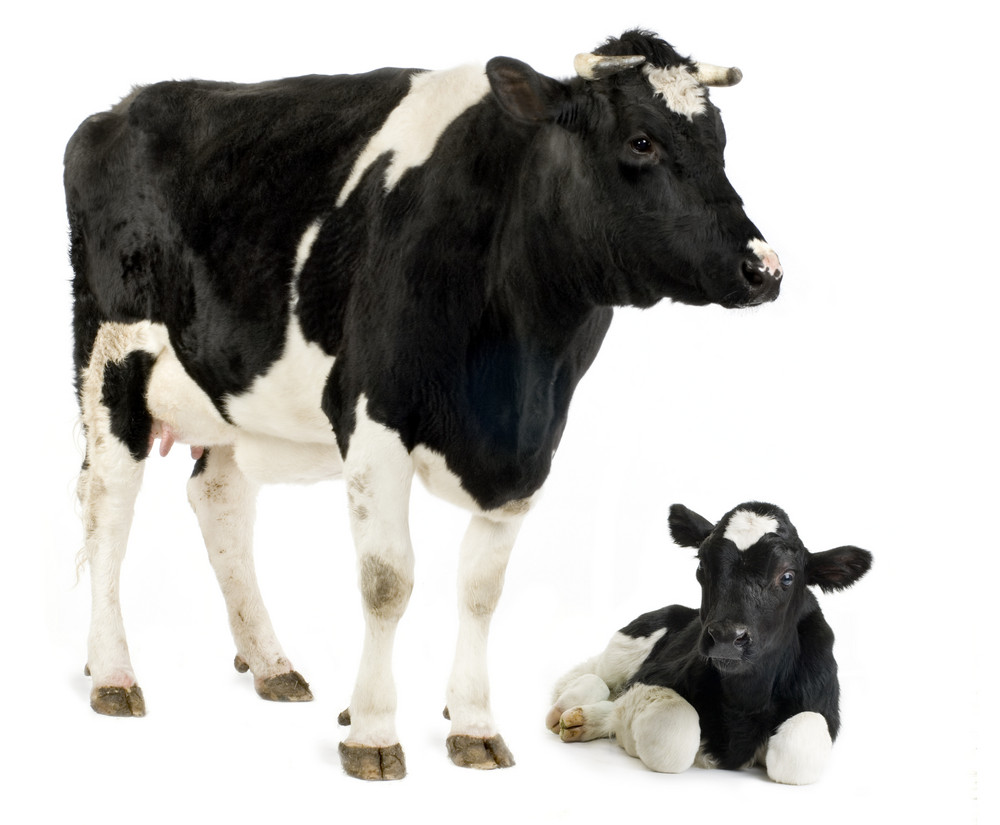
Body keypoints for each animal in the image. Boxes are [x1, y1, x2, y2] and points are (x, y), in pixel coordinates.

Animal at [64, 29, 783, 781]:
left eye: (719, 141)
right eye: (641, 141)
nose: (763, 268)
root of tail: (126, 105)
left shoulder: (530, 447)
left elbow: (481, 589)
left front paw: (472, 723)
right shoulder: (376, 419)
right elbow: (387, 581)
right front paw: (373, 730)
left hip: (232, 392)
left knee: (219, 501)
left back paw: (270, 664)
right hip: (110, 360)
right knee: (107, 508)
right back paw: (112, 672)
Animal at [546, 502, 872, 785]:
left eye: (788, 576)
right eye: (702, 565)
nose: (727, 637)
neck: (745, 699)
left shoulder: (823, 706)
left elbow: (797, 754)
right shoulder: (652, 677)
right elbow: (674, 737)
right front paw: (622, 728)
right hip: (626, 645)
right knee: (594, 677)